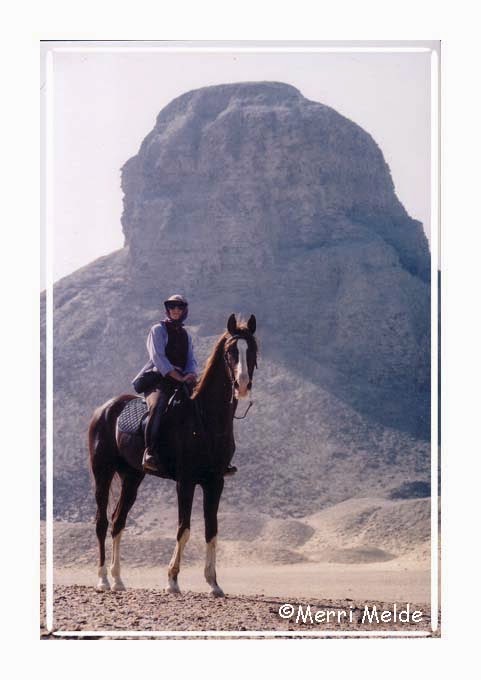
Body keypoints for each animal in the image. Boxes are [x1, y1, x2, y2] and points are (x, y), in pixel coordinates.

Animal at [88, 313, 258, 597]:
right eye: (230, 352)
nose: (242, 385)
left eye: (253, 349)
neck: (205, 419)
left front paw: (214, 583)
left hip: (132, 477)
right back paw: (102, 580)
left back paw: (118, 580)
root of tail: (104, 410)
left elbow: (212, 530)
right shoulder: (185, 481)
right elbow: (184, 529)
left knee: (118, 521)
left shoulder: (215, 482)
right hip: (103, 472)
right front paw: (172, 580)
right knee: (102, 521)